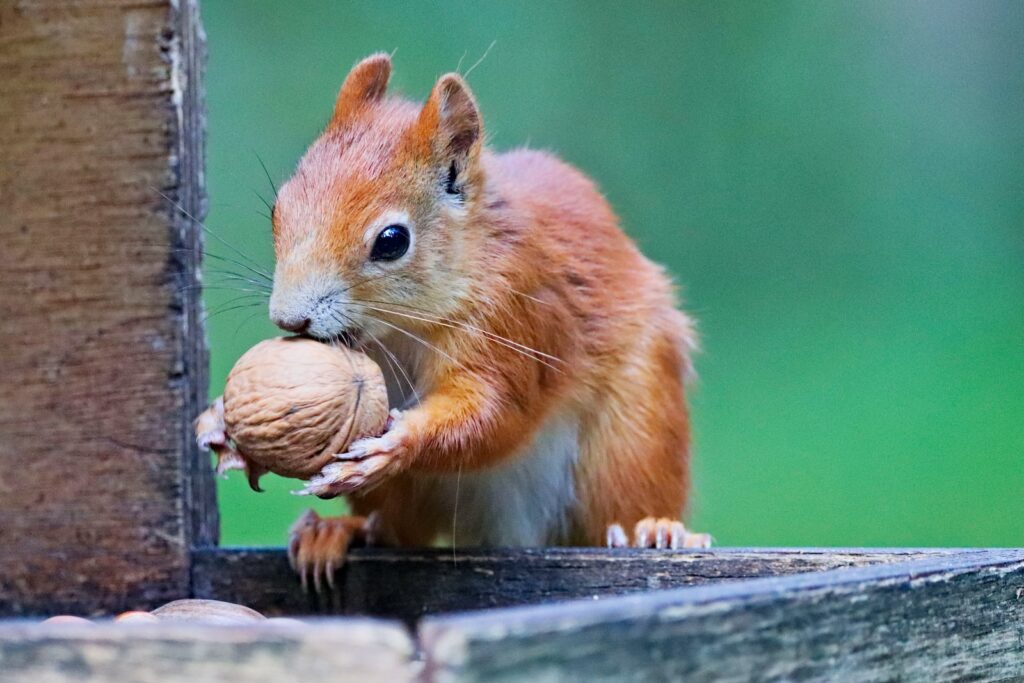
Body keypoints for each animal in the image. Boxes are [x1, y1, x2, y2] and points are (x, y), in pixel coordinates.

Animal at [196, 54, 708, 589]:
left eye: (393, 241)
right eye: (279, 209)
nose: (290, 318)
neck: (403, 328)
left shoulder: (516, 315)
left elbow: (494, 412)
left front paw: (397, 443)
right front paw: (222, 422)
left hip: (633, 437)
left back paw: (656, 531)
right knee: (397, 532)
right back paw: (339, 532)